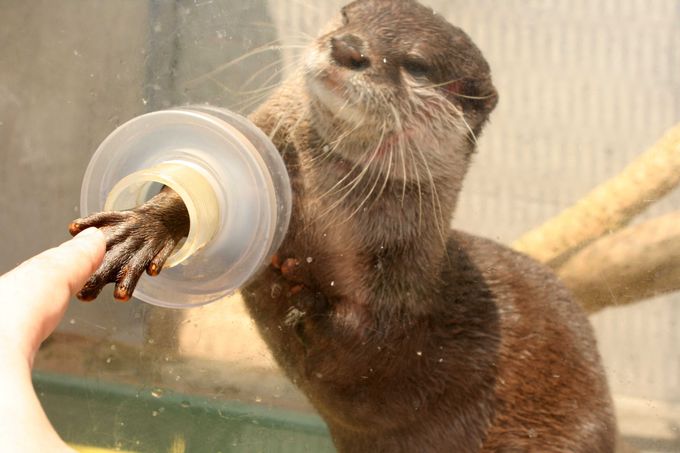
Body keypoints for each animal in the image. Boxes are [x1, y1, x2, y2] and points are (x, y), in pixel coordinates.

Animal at [67, 1, 616, 450]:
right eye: (349, 15)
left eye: (417, 65)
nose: (348, 47)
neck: (319, 222)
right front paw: (142, 231)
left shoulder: (402, 287)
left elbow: (371, 345)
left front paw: (297, 291)